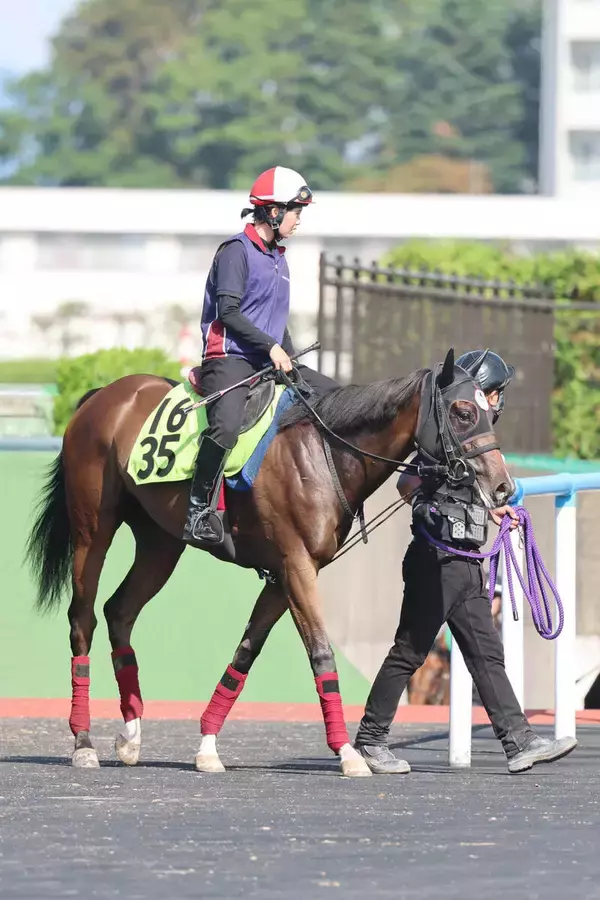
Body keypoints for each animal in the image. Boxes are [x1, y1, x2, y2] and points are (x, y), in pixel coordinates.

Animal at [25, 349, 514, 777]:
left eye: (490, 414)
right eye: (463, 413)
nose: (504, 487)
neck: (324, 452)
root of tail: (104, 394)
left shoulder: (284, 576)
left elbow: (246, 652)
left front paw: (207, 746)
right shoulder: (297, 568)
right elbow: (321, 653)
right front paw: (347, 753)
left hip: (160, 544)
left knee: (120, 611)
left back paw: (130, 735)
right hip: (93, 531)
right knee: (83, 619)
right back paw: (83, 742)